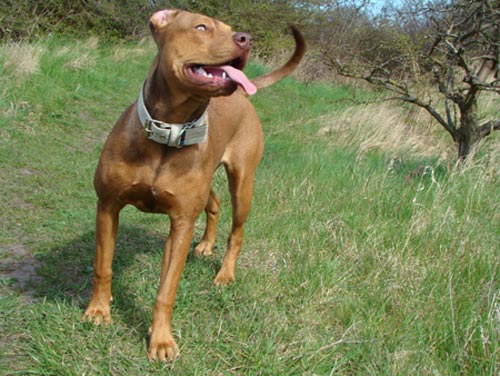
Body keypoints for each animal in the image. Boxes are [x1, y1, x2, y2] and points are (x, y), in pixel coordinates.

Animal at [82, 9, 304, 362]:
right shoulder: (107, 206)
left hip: (243, 184)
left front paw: (160, 340)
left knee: (236, 232)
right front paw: (99, 311)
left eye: (231, 29)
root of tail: (243, 95)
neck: (169, 130)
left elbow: (166, 289)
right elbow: (102, 265)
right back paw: (206, 245)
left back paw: (225, 273)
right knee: (214, 203)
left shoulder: (182, 224)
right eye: (201, 27)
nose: (246, 38)